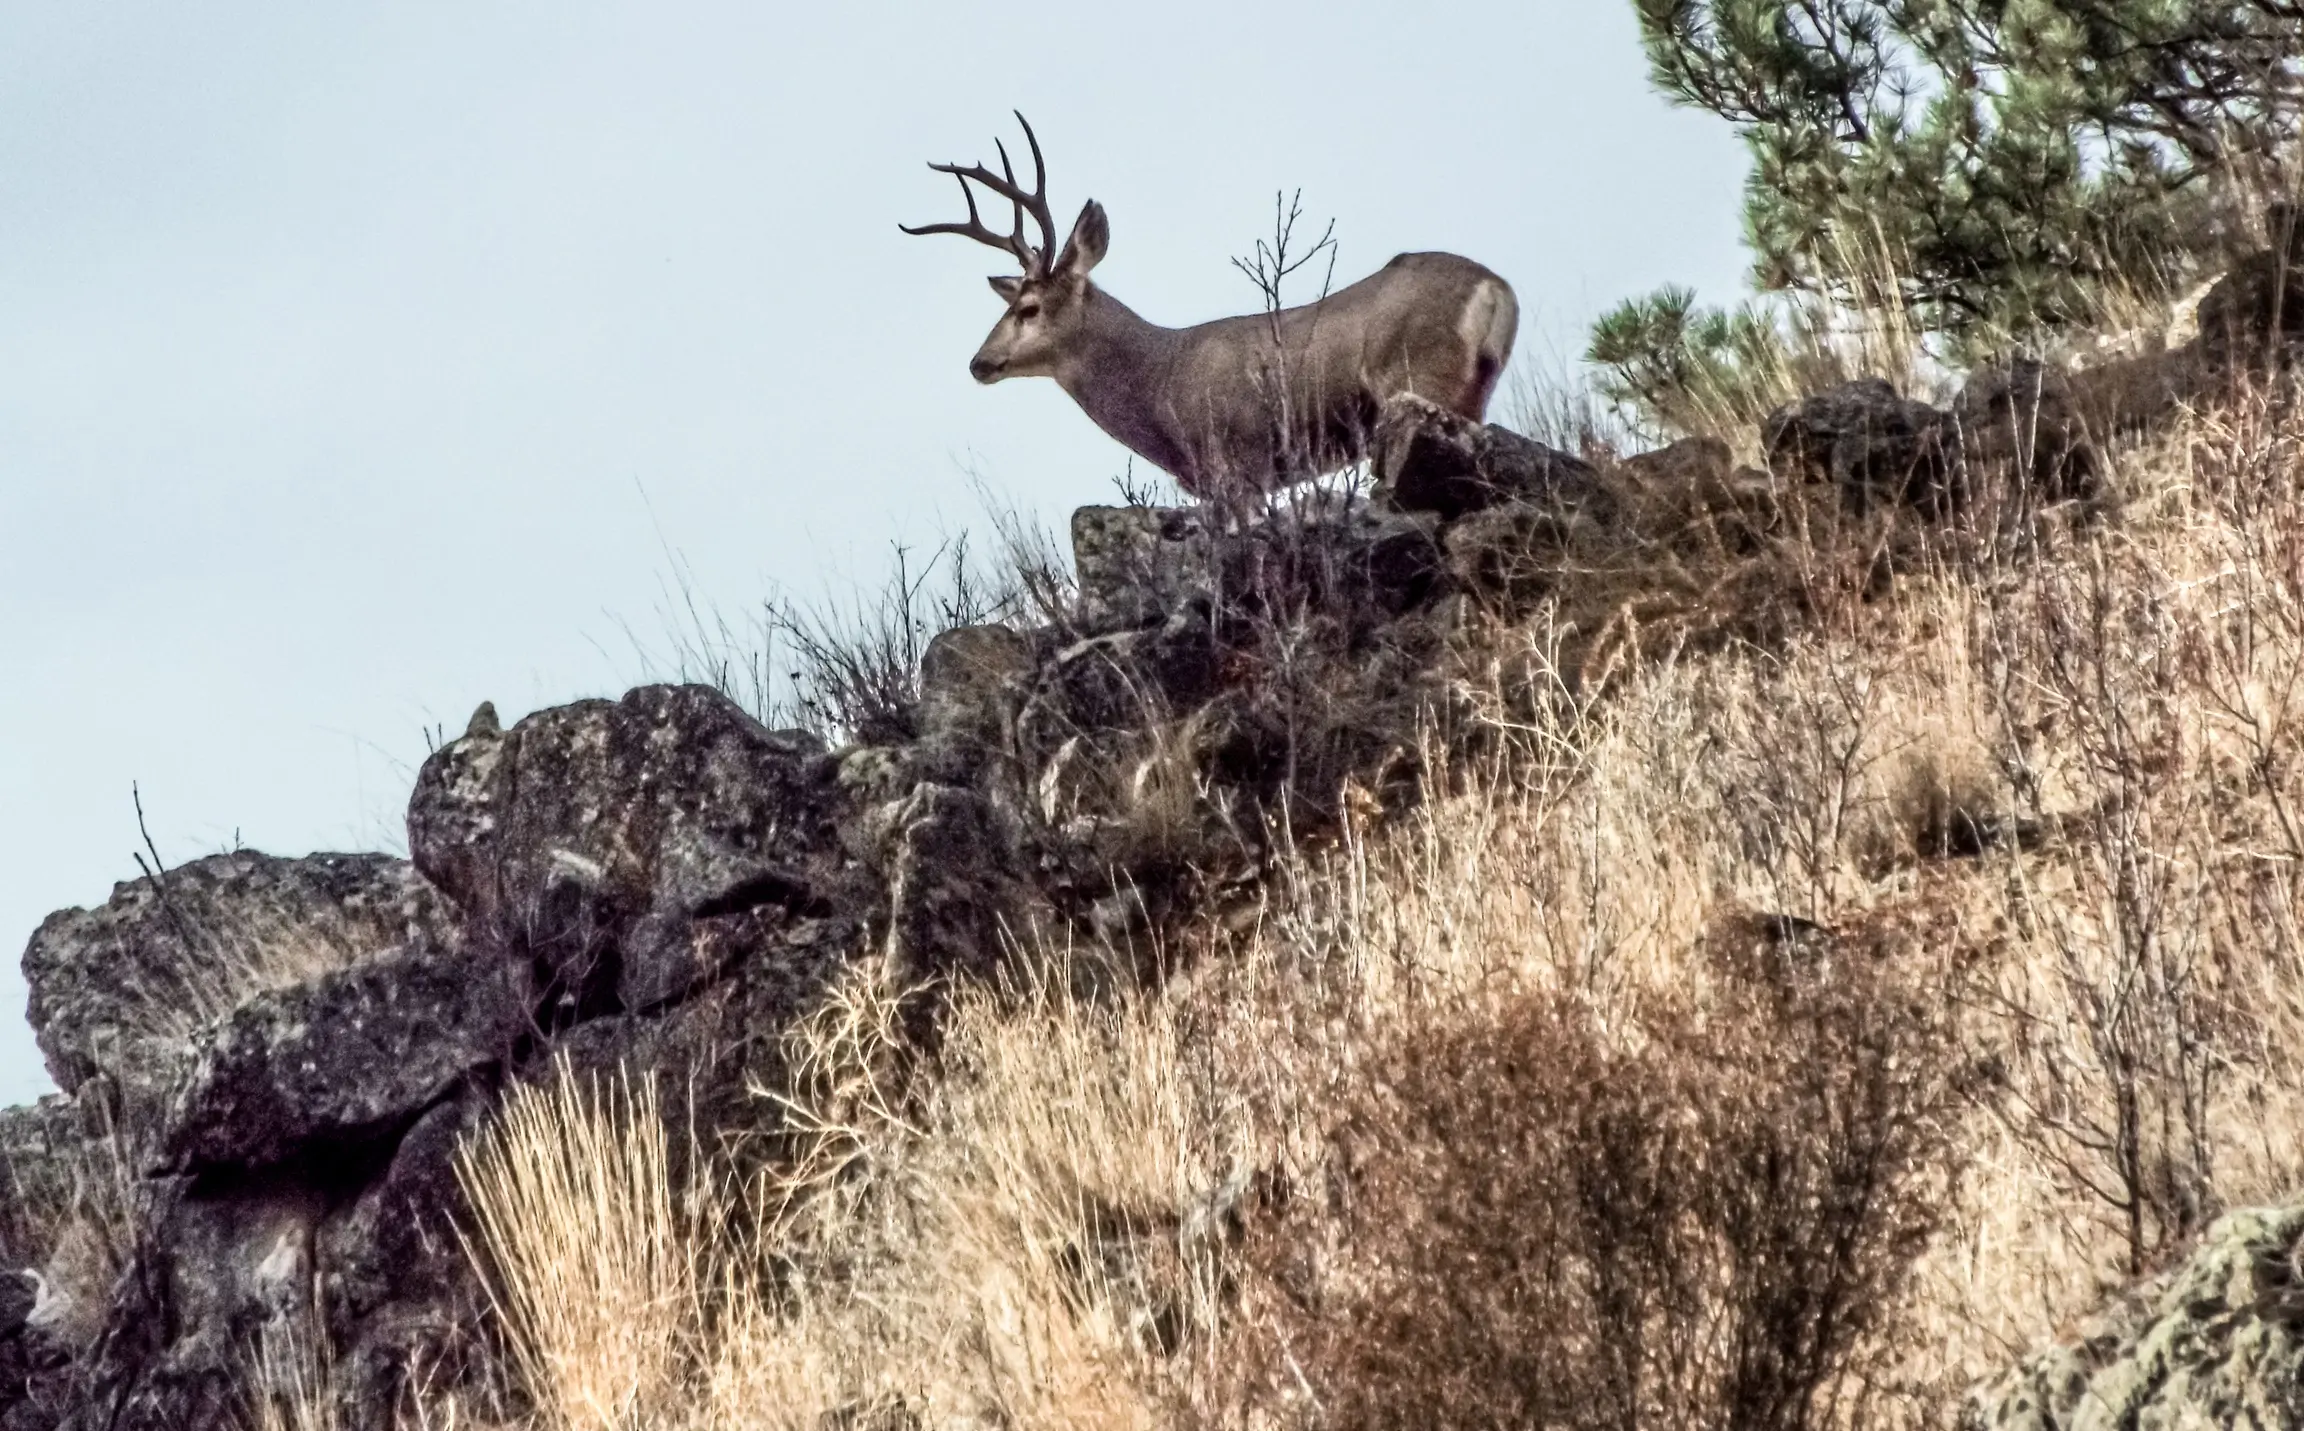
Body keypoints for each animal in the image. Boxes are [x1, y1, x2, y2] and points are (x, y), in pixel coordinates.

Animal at [902, 115, 1519, 500]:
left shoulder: (1233, 466)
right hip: (1472, 390)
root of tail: (1495, 288)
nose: (979, 362)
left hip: (1421, 379)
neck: (1158, 383)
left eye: (1028, 308)